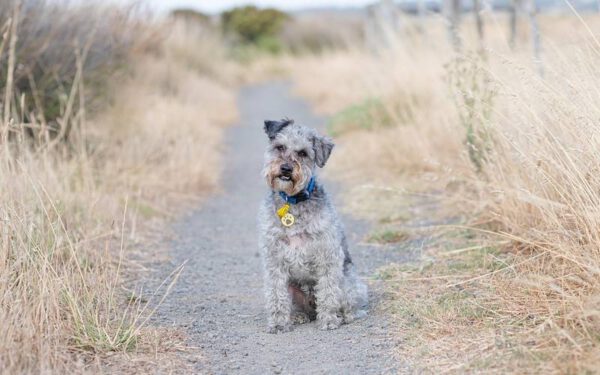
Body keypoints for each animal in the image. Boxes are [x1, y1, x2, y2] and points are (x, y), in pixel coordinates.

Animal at [256, 119, 368, 334]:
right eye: (280, 147)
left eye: (303, 153)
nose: (286, 168)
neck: (293, 202)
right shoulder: (274, 259)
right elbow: (276, 294)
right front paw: (278, 323)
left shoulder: (327, 255)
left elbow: (328, 292)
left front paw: (329, 320)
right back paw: (298, 316)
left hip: (350, 283)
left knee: (347, 303)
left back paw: (344, 316)